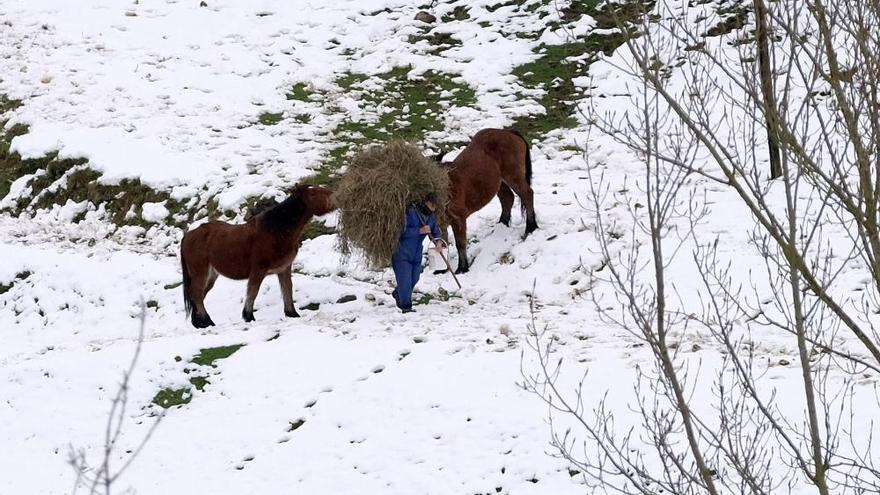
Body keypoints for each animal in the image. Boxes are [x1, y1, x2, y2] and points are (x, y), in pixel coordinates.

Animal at [179, 184, 334, 328]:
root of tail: (188, 235)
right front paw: (248, 316)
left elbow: (287, 289)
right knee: (196, 294)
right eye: (312, 193)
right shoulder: (259, 269)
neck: (277, 231)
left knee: (199, 295)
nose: (332, 194)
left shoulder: (284, 268)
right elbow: (253, 291)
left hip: (211, 274)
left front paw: (292, 313)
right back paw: (207, 321)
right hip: (200, 272)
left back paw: (198, 322)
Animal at [438, 128, 536, 274]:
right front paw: (443, 269)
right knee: (507, 198)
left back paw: (530, 227)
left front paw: (462, 268)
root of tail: (508, 131)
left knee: (527, 195)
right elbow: (441, 243)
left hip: (514, 176)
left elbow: (460, 244)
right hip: (499, 182)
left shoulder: (458, 219)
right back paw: (502, 224)